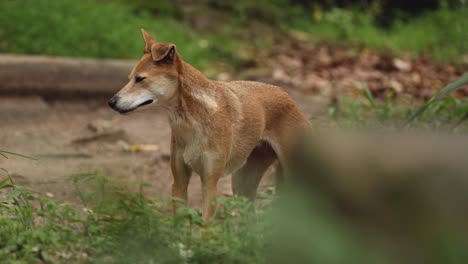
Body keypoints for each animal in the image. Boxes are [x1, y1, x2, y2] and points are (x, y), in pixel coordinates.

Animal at [108, 28, 308, 220]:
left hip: (290, 180)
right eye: (129, 78)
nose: (111, 102)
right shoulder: (179, 182)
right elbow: (178, 224)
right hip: (242, 184)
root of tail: (287, 96)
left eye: (140, 79)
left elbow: (206, 226)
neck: (191, 123)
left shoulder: (210, 184)